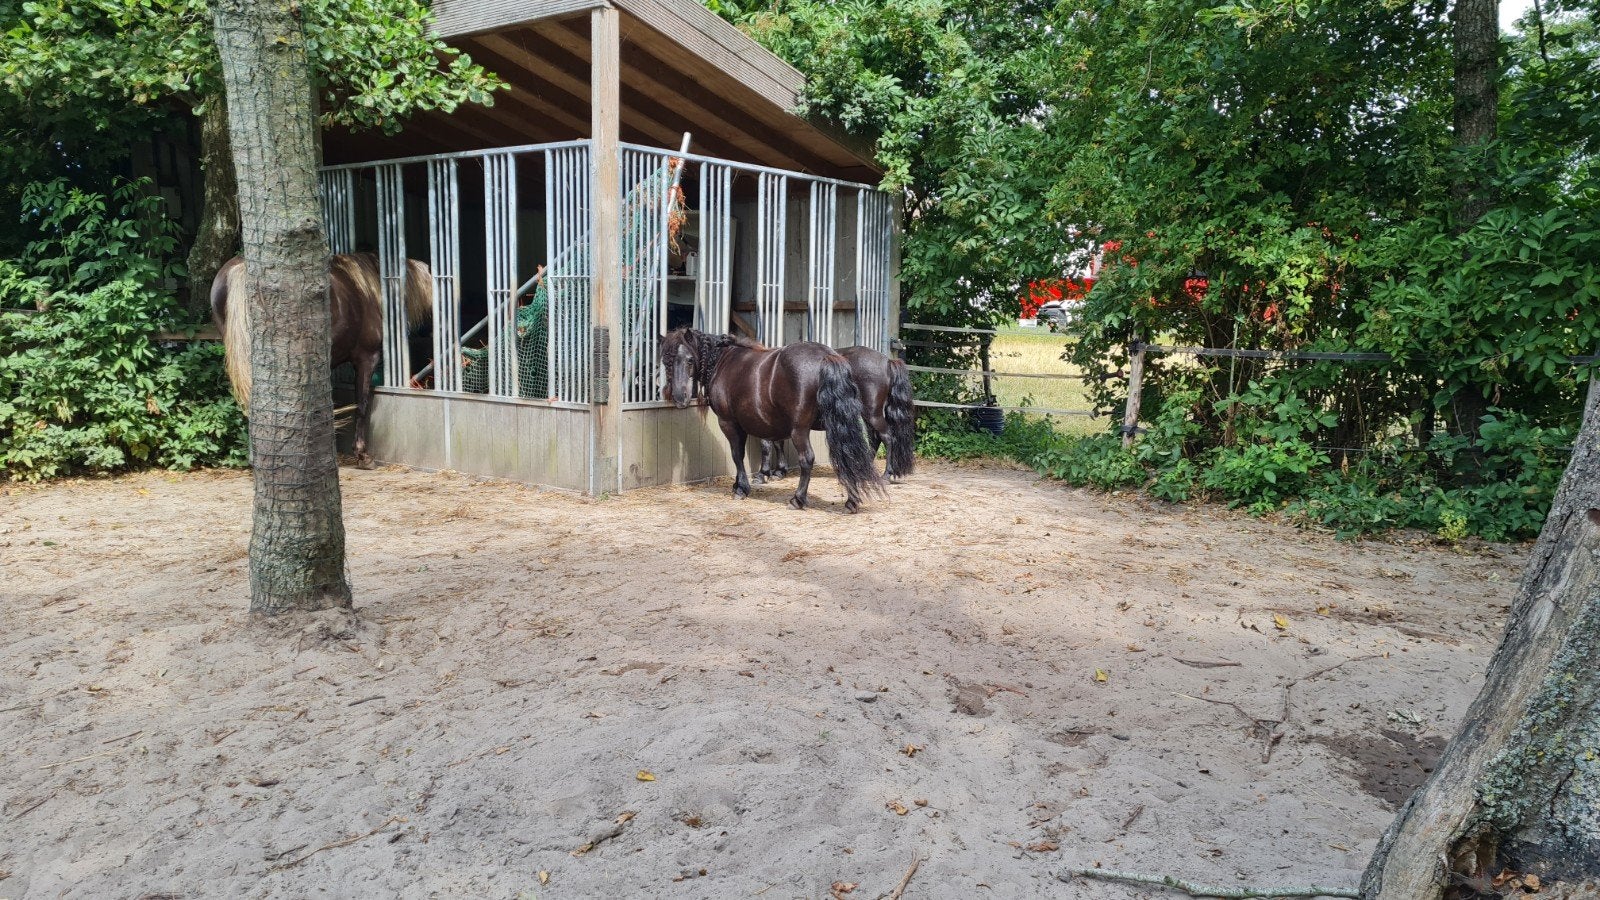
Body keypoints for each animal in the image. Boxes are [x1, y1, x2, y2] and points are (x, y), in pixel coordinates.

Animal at [659, 328, 886, 512]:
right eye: (666, 361)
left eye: (689, 359)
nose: (679, 397)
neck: (723, 362)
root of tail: (828, 357)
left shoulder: (729, 423)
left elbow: (738, 455)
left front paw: (742, 488)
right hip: (838, 424)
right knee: (848, 454)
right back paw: (852, 501)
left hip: (800, 430)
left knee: (808, 458)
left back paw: (798, 499)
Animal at [758, 345, 915, 483]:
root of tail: (888, 362)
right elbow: (777, 442)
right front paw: (778, 471)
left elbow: (766, 444)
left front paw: (763, 474)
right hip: (868, 415)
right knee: (875, 438)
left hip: (873, 413)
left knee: (887, 437)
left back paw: (887, 474)